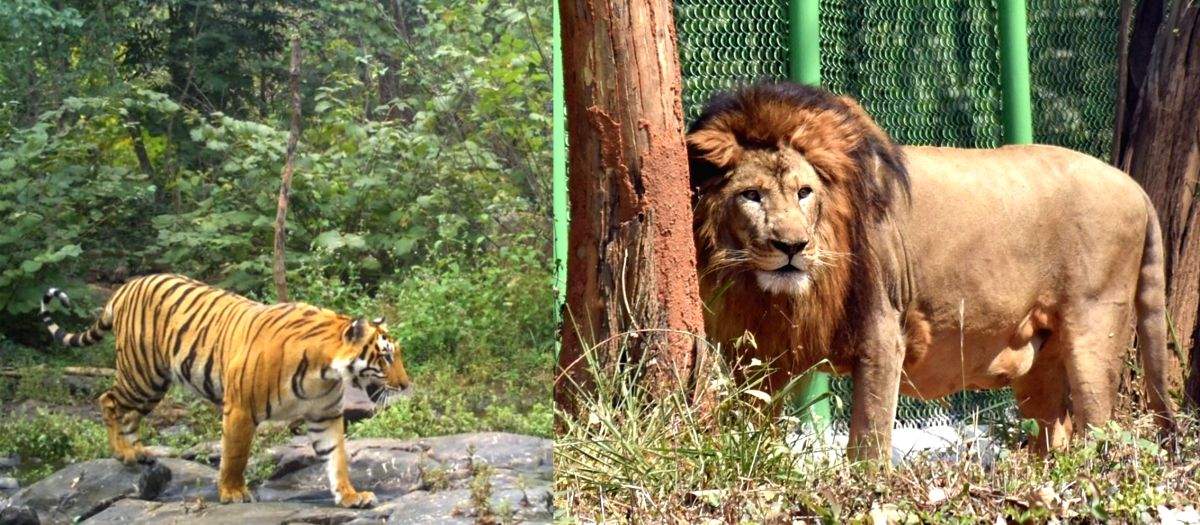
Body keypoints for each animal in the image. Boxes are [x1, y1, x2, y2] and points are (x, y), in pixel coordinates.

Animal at [40, 273, 412, 508]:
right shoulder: (241, 409)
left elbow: (337, 459)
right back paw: (122, 452)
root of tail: (126, 286)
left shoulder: (326, 416)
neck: (325, 372)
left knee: (129, 414)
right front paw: (233, 493)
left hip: (153, 384)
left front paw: (351, 496)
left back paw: (139, 452)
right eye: (386, 356)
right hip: (140, 374)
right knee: (108, 399)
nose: (406, 384)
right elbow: (235, 455)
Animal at [687, 82, 1177, 460]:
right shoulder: (761, 349)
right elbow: (754, 419)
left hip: (1095, 329)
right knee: (1055, 430)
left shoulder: (883, 333)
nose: (792, 246)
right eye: (751, 195)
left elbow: (868, 441)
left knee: (1099, 426)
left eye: (804, 192)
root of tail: (1135, 186)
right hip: (1041, 357)